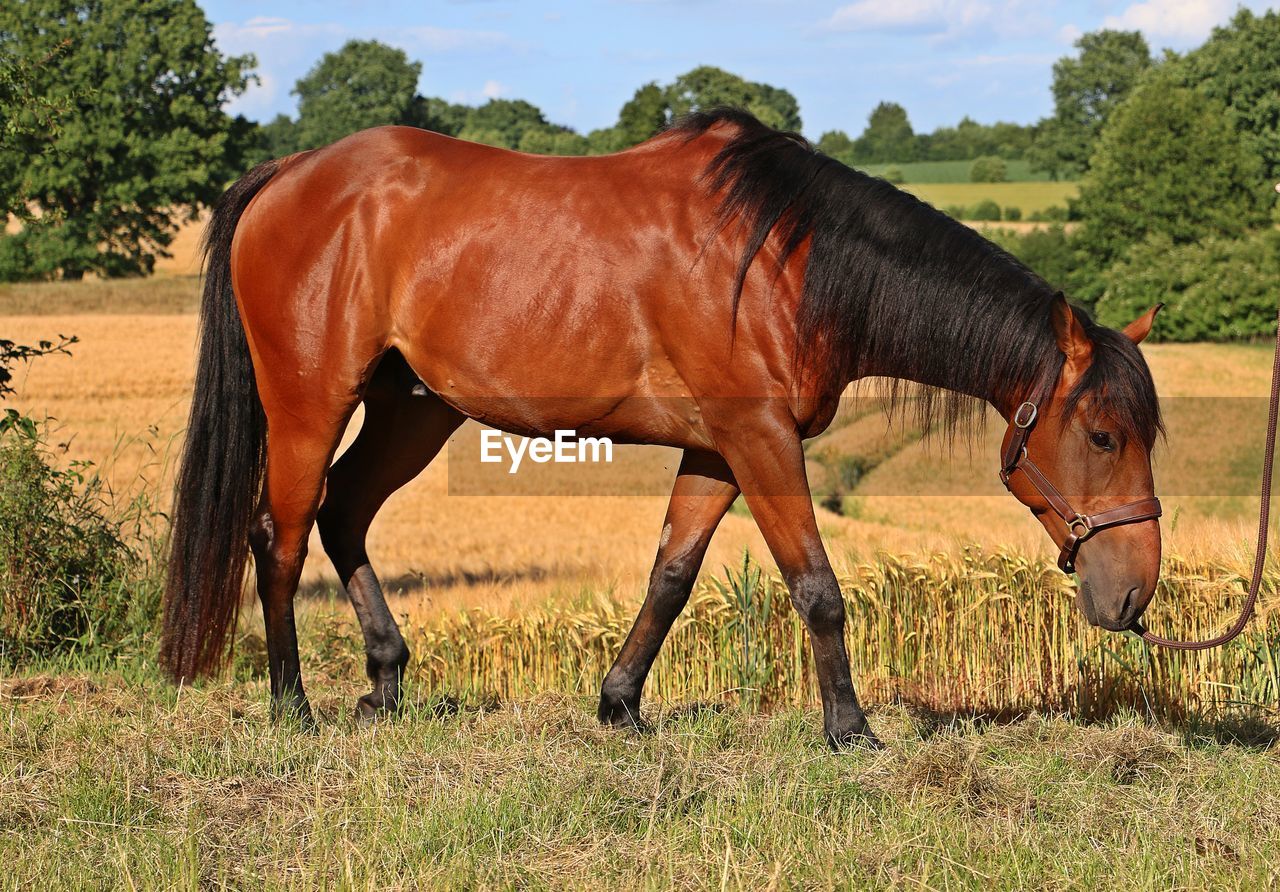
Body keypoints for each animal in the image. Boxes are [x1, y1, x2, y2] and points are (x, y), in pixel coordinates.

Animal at [157, 109, 1162, 742]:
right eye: (1103, 436)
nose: (1134, 598)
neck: (786, 258)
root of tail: (289, 176)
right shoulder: (761, 440)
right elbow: (817, 586)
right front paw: (851, 730)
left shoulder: (715, 449)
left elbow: (670, 578)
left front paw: (619, 706)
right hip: (308, 403)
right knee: (279, 535)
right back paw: (292, 706)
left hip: (414, 410)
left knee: (344, 516)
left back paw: (387, 678)